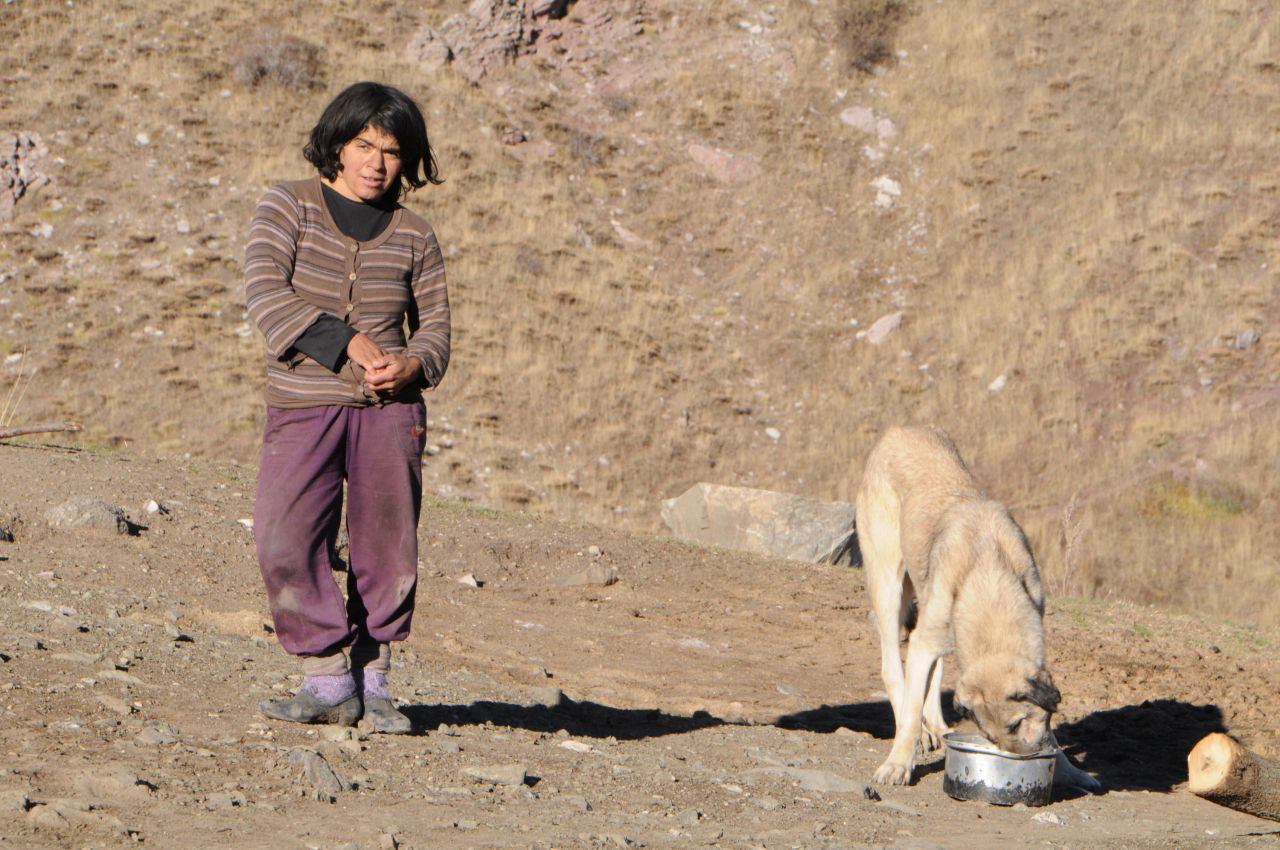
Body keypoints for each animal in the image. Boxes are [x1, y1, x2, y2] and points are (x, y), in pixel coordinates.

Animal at [855, 425, 1095, 788]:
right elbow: (910, 711)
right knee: (893, 669)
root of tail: (898, 430)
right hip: (887, 583)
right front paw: (899, 763)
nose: (1022, 762)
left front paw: (1068, 770)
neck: (988, 575)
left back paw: (938, 727)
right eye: (995, 734)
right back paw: (921, 732)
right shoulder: (926, 641)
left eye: (1017, 724)